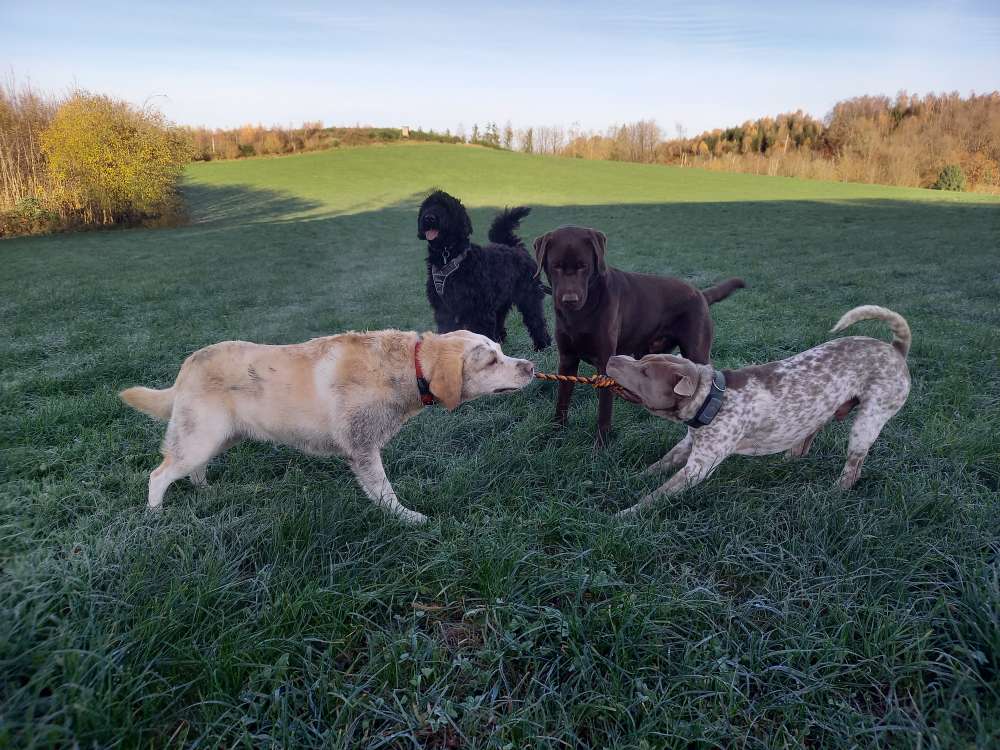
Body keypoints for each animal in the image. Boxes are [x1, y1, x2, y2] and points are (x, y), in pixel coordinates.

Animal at [121, 328, 536, 524]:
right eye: (491, 361)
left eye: (502, 351)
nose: (531, 367)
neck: (408, 367)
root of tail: (187, 365)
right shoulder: (362, 447)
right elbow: (385, 493)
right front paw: (407, 519)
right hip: (199, 437)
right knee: (159, 475)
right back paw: (155, 514)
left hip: (216, 438)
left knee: (195, 470)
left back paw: (207, 491)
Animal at [416, 191, 552, 350]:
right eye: (427, 205)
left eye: (445, 206)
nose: (429, 218)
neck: (450, 258)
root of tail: (515, 247)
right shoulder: (444, 309)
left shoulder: (479, 311)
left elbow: (482, 332)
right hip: (501, 302)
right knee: (500, 321)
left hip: (528, 298)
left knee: (536, 320)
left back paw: (542, 345)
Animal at [604, 306, 912, 516]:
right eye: (643, 358)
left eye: (645, 372)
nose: (611, 357)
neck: (712, 396)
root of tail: (895, 349)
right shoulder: (687, 445)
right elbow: (656, 467)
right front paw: (629, 478)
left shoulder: (699, 467)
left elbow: (657, 495)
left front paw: (626, 513)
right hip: (820, 412)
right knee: (805, 443)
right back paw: (788, 462)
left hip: (866, 424)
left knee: (853, 470)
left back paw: (832, 494)